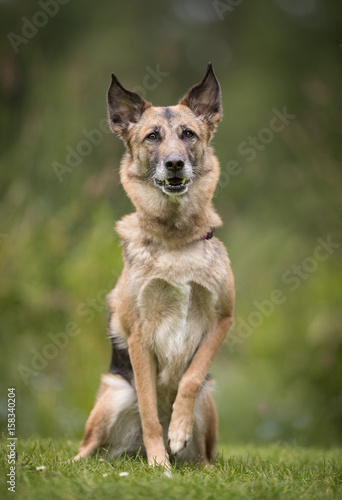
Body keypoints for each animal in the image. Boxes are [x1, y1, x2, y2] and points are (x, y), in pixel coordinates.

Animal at [74, 63, 235, 468]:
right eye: (152, 137)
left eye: (188, 134)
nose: (174, 164)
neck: (175, 239)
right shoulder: (138, 337)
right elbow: (148, 408)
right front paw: (159, 463)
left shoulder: (223, 319)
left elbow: (190, 377)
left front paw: (175, 431)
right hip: (113, 395)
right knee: (87, 449)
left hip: (209, 403)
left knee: (204, 454)